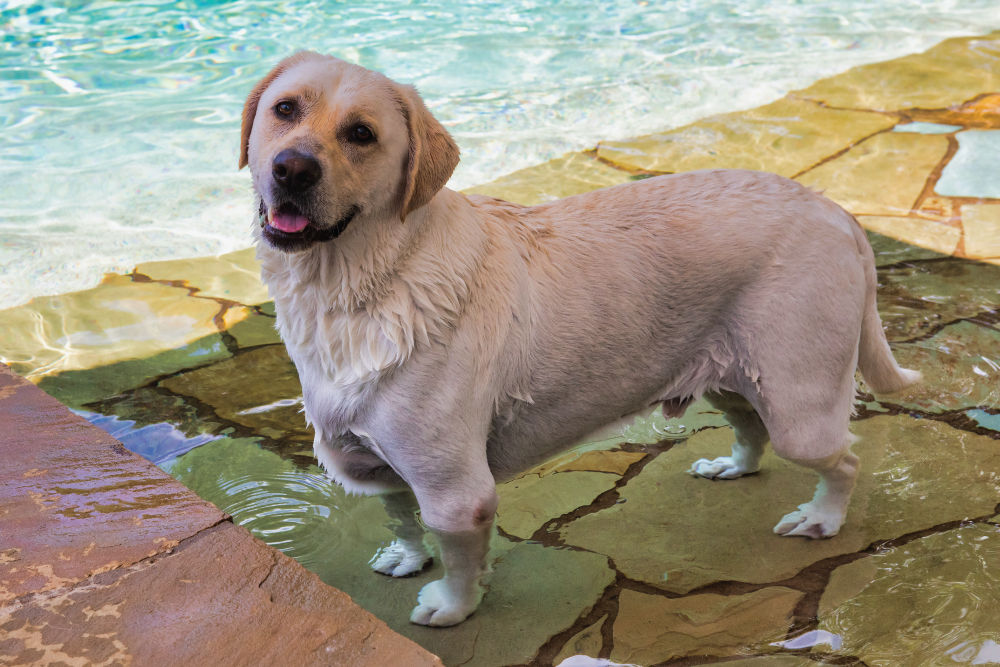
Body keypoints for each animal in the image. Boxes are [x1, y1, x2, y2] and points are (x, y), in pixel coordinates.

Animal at [240, 52, 920, 628]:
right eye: (285, 109)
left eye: (361, 134)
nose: (291, 168)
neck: (361, 281)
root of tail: (836, 211)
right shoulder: (377, 464)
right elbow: (400, 516)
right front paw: (408, 557)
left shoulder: (457, 493)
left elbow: (459, 560)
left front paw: (453, 607)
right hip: (728, 371)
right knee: (749, 425)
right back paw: (733, 466)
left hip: (798, 403)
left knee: (844, 459)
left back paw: (822, 519)